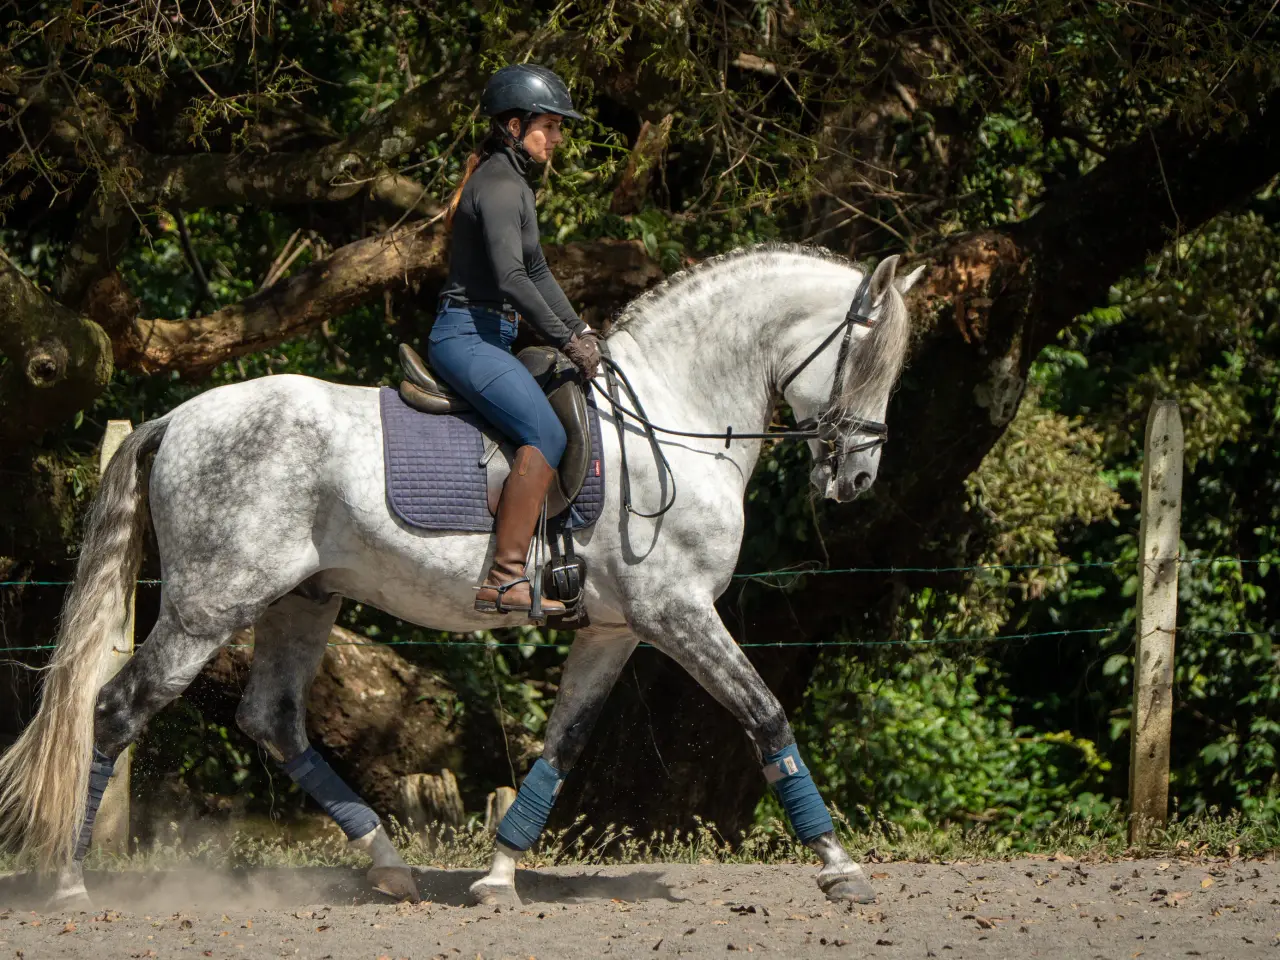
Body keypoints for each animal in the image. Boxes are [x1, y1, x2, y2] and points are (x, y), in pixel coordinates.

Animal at [0, 243, 923, 909]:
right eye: (868, 357)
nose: (856, 480)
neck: (673, 417)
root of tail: (180, 416)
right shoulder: (678, 613)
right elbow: (765, 715)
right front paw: (840, 866)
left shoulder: (614, 629)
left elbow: (561, 744)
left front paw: (499, 875)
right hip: (208, 606)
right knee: (117, 709)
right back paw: (72, 884)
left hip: (302, 600)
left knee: (273, 721)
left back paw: (389, 865)